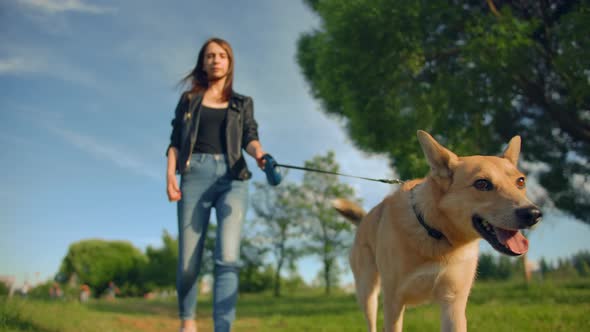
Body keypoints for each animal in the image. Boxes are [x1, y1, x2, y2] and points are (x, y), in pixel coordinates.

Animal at [336, 131, 544, 330]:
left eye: (521, 181)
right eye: (482, 184)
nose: (533, 214)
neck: (436, 233)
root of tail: (365, 219)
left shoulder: (453, 303)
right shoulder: (393, 302)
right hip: (368, 294)